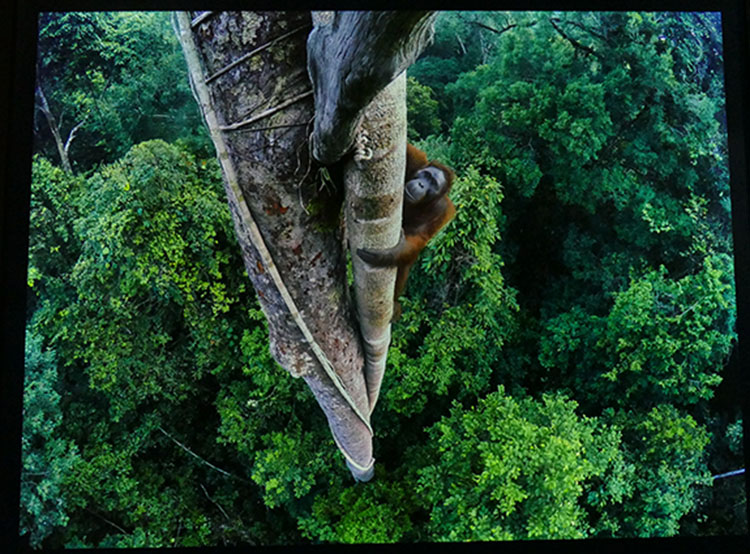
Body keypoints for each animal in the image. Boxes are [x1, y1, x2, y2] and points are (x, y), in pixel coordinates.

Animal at [357, 143, 456, 320]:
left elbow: (419, 238)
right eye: (425, 175)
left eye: (433, 183)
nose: (422, 184)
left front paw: (388, 253)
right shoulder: (416, 162)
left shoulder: (442, 211)